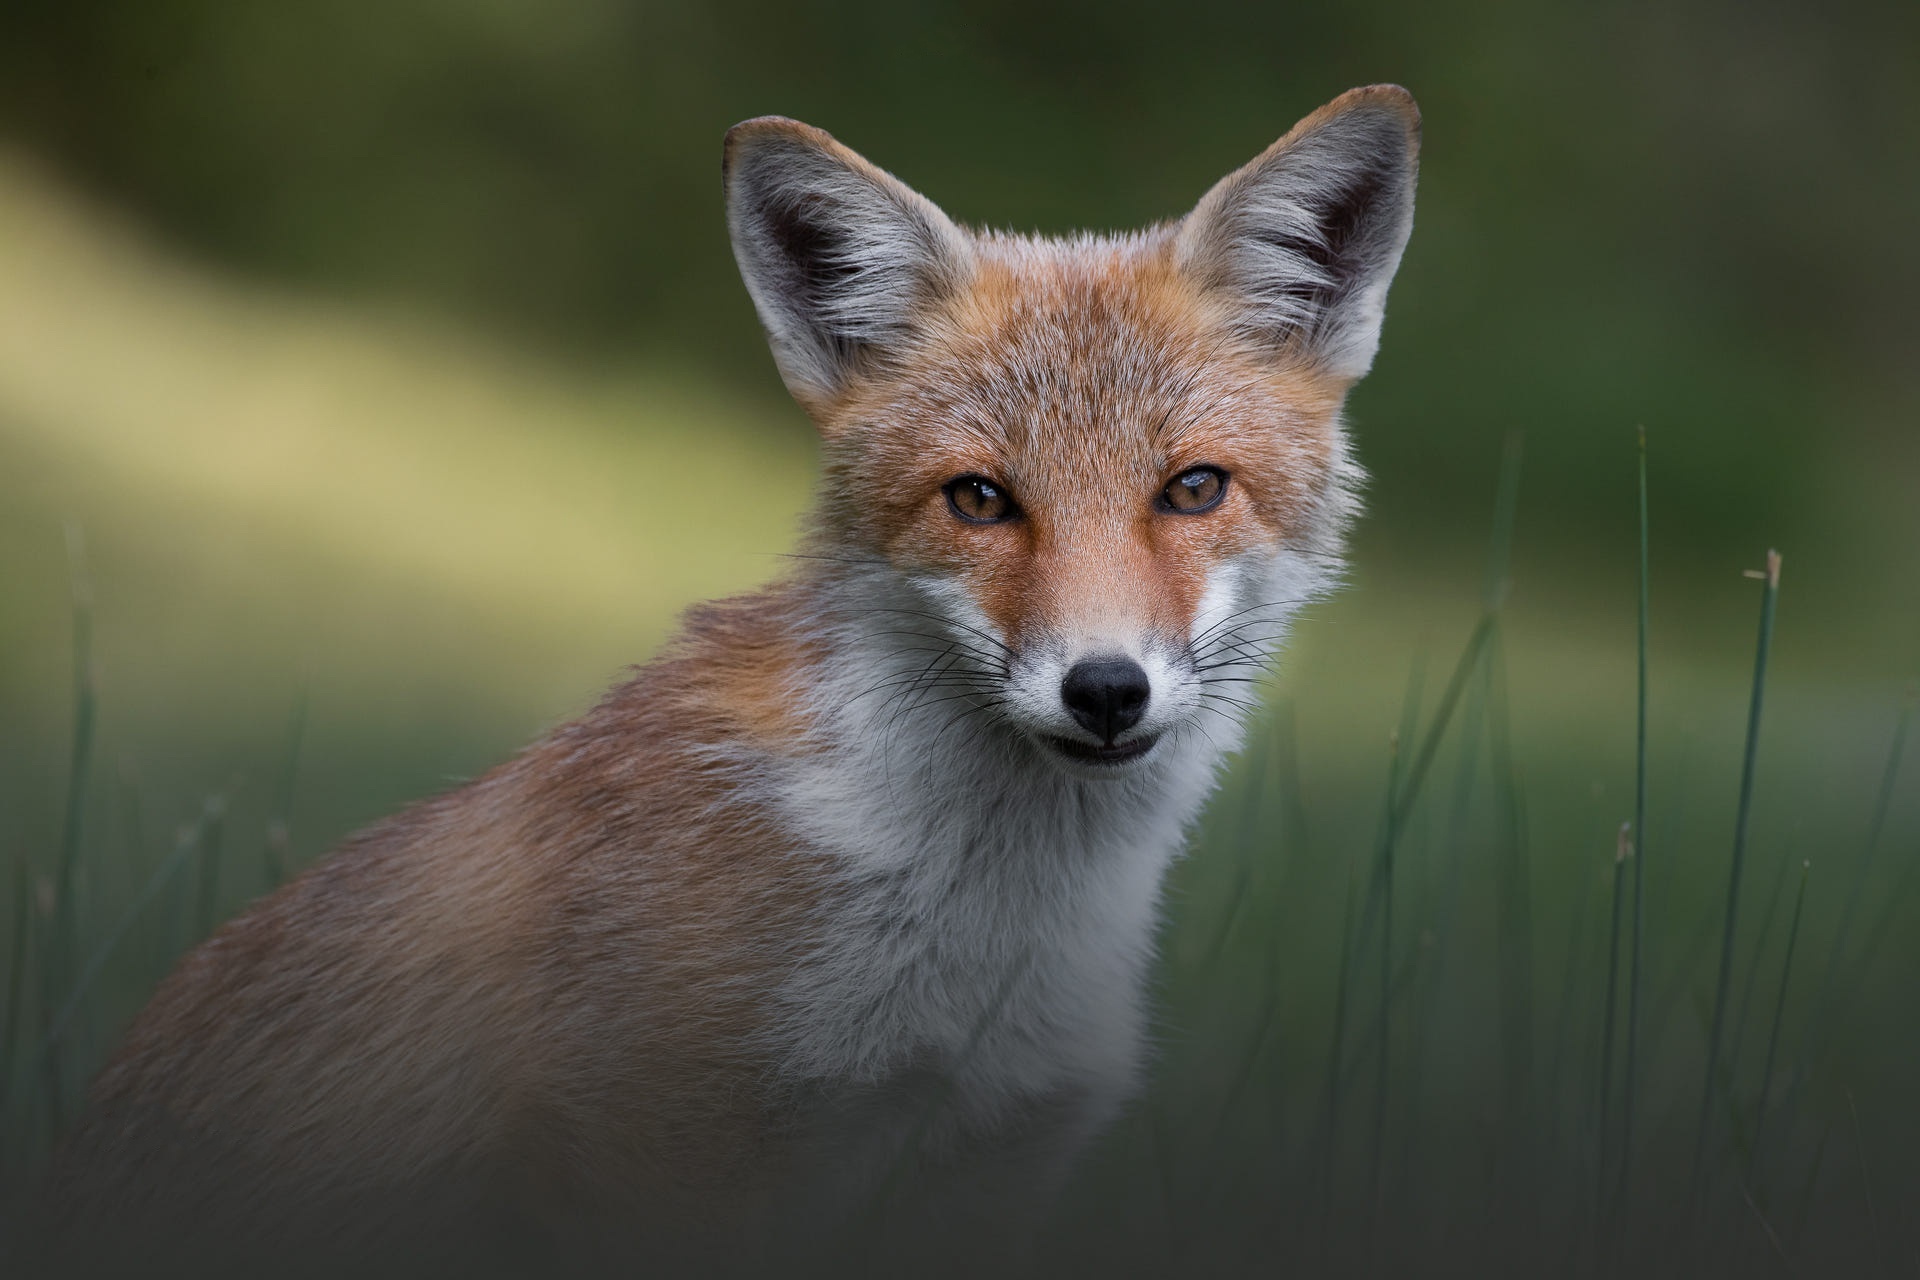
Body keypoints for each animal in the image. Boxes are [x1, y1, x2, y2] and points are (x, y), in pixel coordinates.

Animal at [32, 85, 1419, 1275]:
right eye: (980, 499)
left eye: (1193, 488)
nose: (1105, 688)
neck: (980, 921)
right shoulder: (659, 1147)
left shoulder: (987, 1159)